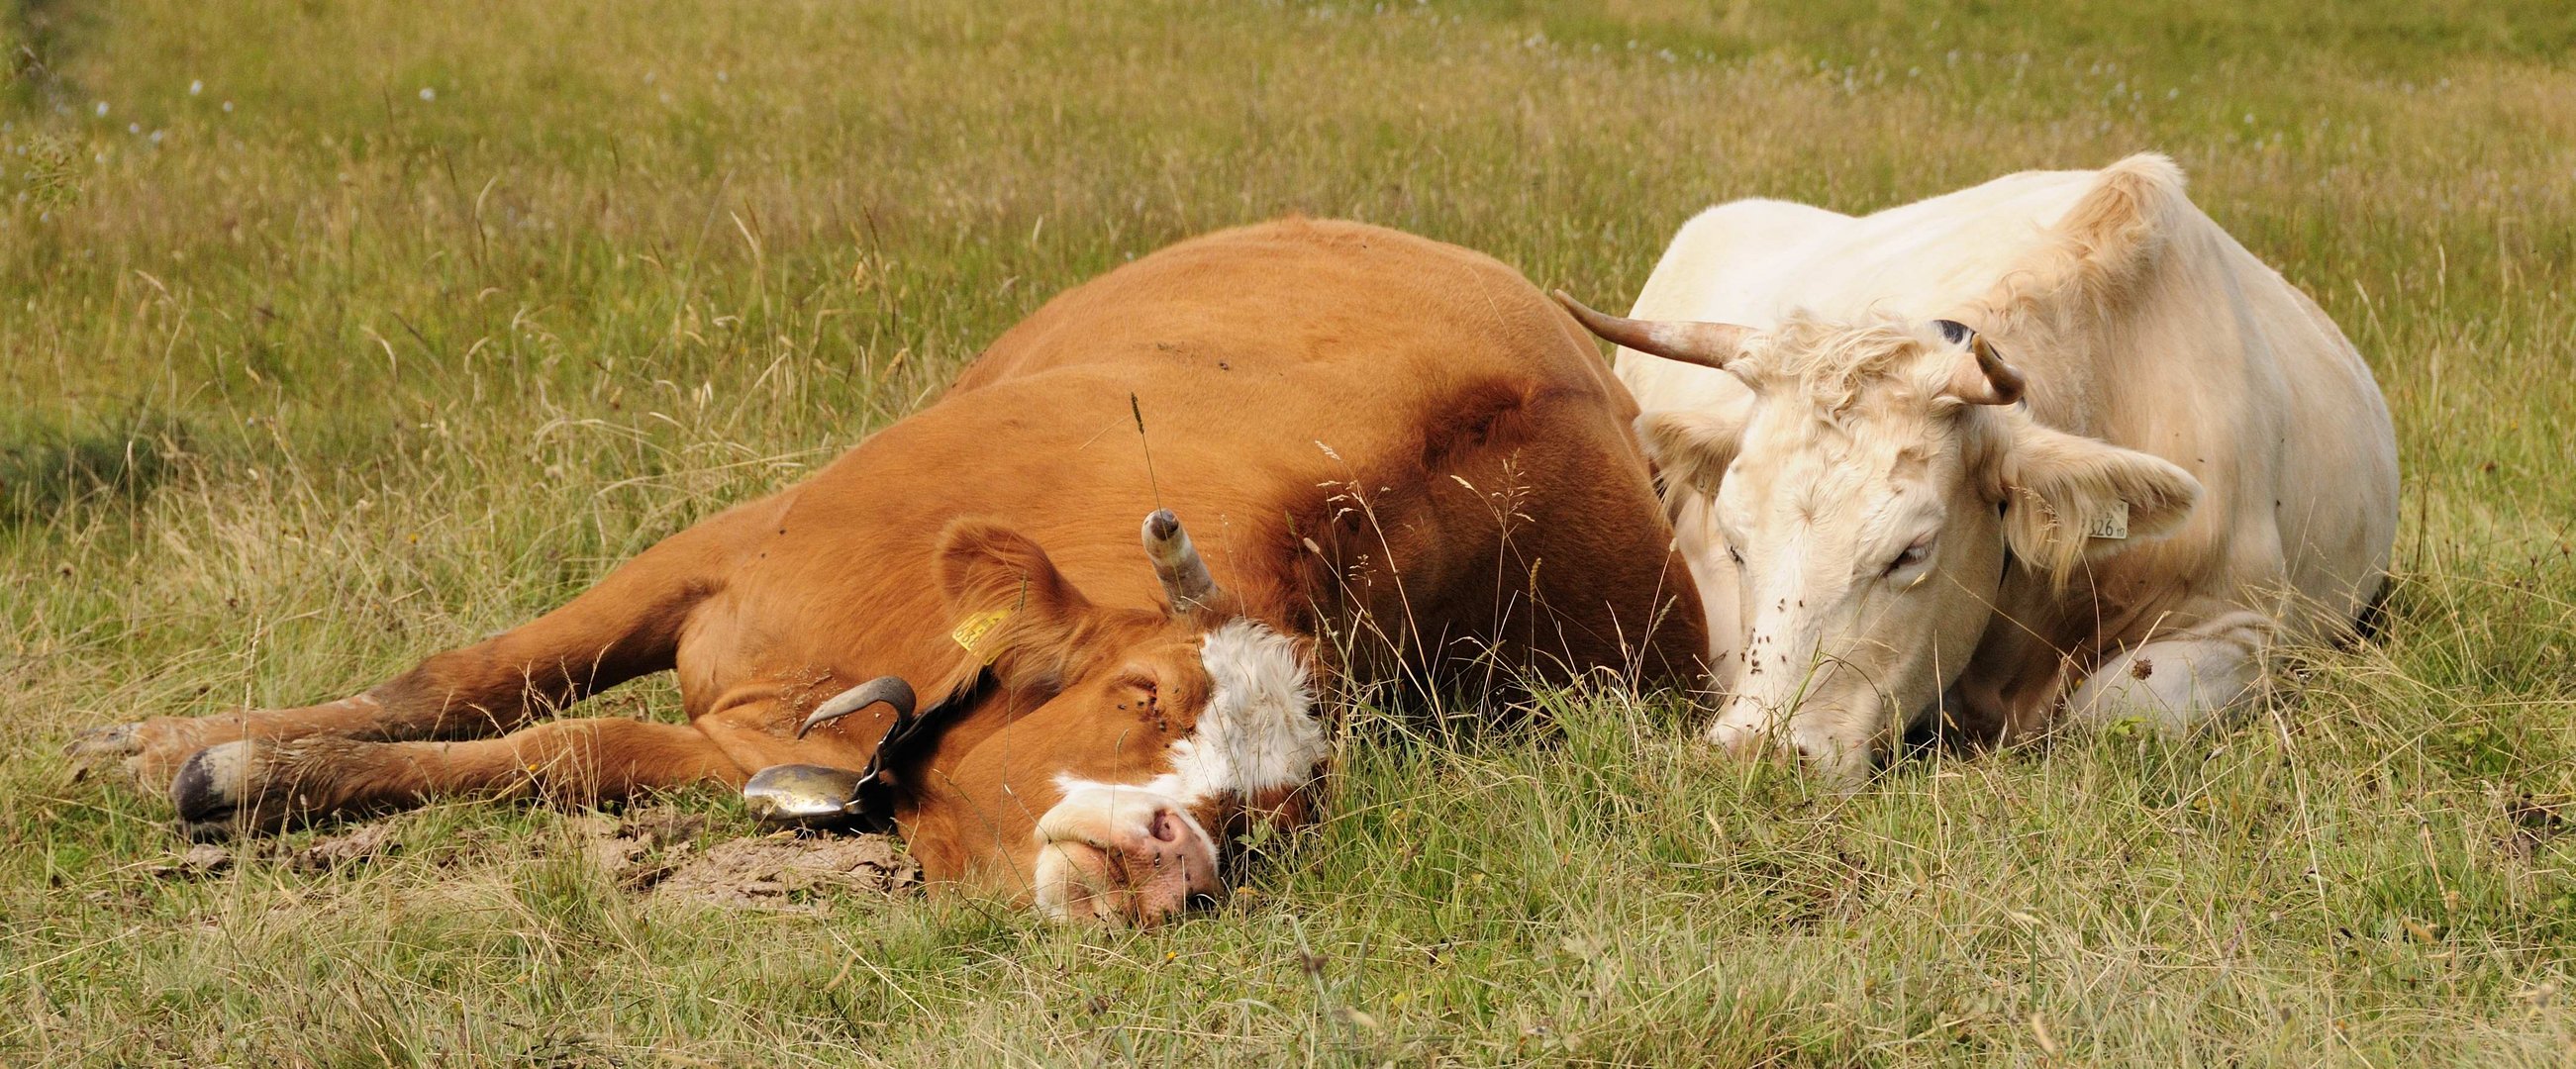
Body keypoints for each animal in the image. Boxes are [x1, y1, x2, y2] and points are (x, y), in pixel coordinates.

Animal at [65, 215, 1710, 922]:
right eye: (1140, 691)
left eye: (1272, 818)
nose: (1177, 851)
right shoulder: (724, 547)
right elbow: (478, 673)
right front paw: (186, 749)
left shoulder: (740, 740)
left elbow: (572, 751)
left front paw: (256, 777)